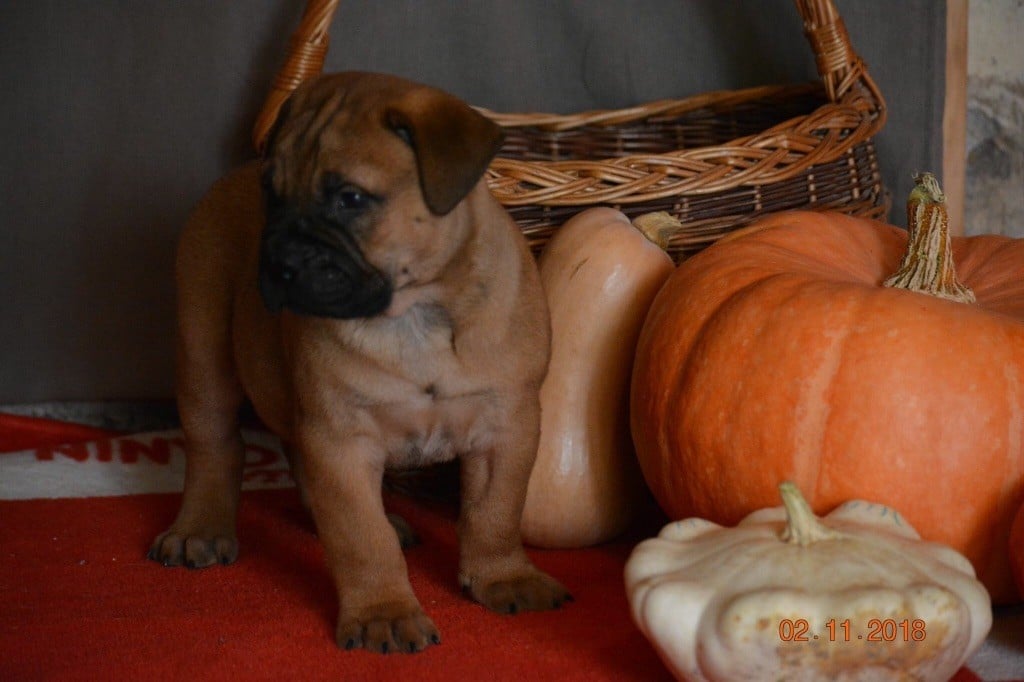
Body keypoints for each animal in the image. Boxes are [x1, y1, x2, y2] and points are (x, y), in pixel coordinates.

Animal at [148, 71, 570, 653]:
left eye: (351, 198)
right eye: (270, 194)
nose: (278, 263)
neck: (415, 311)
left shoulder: (506, 429)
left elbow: (496, 512)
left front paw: (503, 576)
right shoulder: (341, 438)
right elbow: (361, 537)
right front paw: (382, 613)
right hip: (203, 350)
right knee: (215, 447)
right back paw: (201, 528)